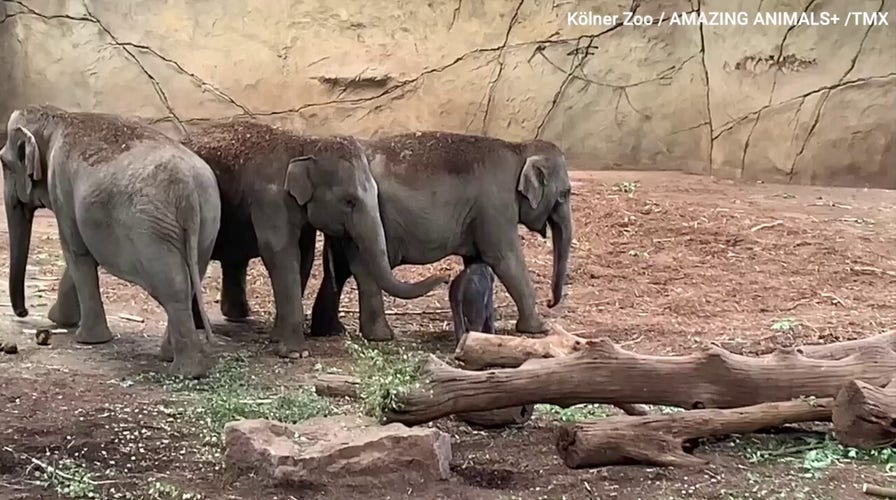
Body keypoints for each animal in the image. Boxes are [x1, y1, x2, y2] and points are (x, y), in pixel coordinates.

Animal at [1, 105, 221, 378]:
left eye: (3, 163)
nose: (24, 312)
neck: (57, 116)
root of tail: (188, 189)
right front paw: (60, 320)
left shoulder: (60, 185)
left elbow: (75, 252)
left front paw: (86, 339)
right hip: (207, 220)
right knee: (191, 279)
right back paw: (169, 356)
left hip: (151, 231)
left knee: (174, 289)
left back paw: (186, 371)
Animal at [179, 121, 449, 357]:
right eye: (348, 201)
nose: (445, 278)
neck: (304, 145)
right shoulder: (270, 199)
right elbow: (280, 253)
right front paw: (296, 353)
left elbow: (305, 255)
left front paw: (277, 338)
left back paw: (234, 316)